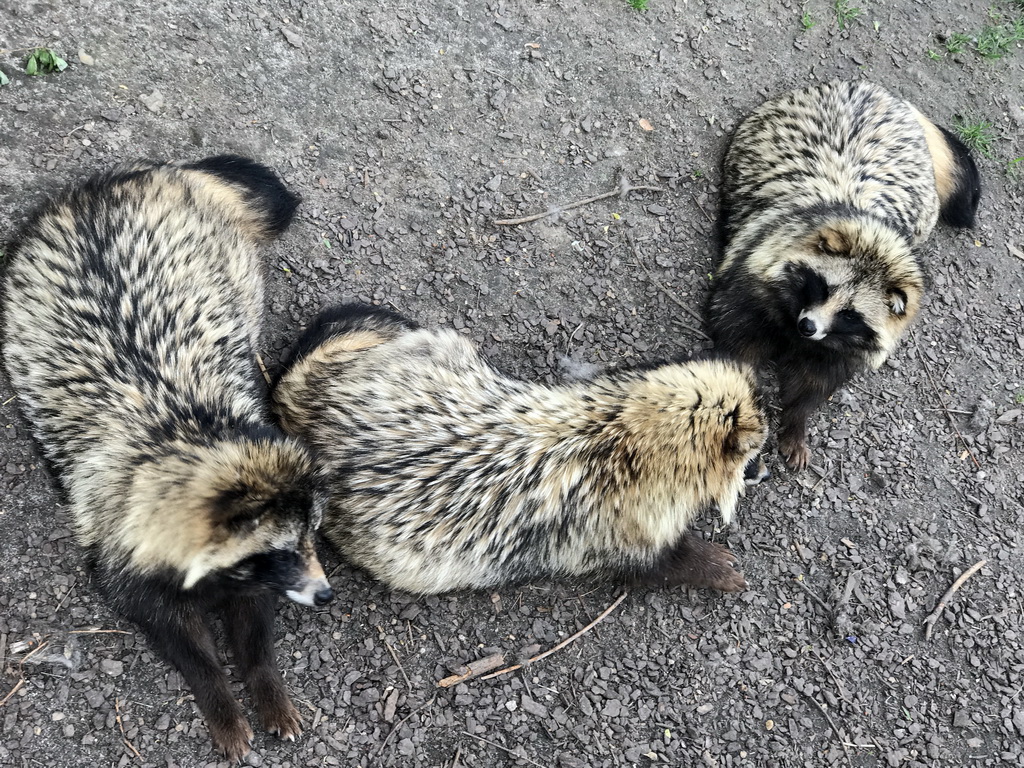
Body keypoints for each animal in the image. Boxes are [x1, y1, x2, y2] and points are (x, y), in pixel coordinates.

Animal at [2, 156, 333, 765]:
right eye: (278, 550)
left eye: (312, 535)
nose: (325, 595)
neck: (188, 432)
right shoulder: (125, 556)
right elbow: (185, 645)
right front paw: (221, 703)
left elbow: (253, 629)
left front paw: (266, 686)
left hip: (231, 274)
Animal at [272, 303, 770, 598]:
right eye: (755, 454)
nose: (766, 473)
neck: (621, 437)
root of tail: (306, 394)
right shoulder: (626, 546)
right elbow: (672, 562)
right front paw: (719, 568)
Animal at [708, 81, 978, 473]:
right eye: (821, 286)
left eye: (850, 314)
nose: (808, 327)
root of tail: (883, 93)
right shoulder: (750, 281)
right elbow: (739, 346)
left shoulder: (841, 349)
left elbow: (813, 384)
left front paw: (796, 423)